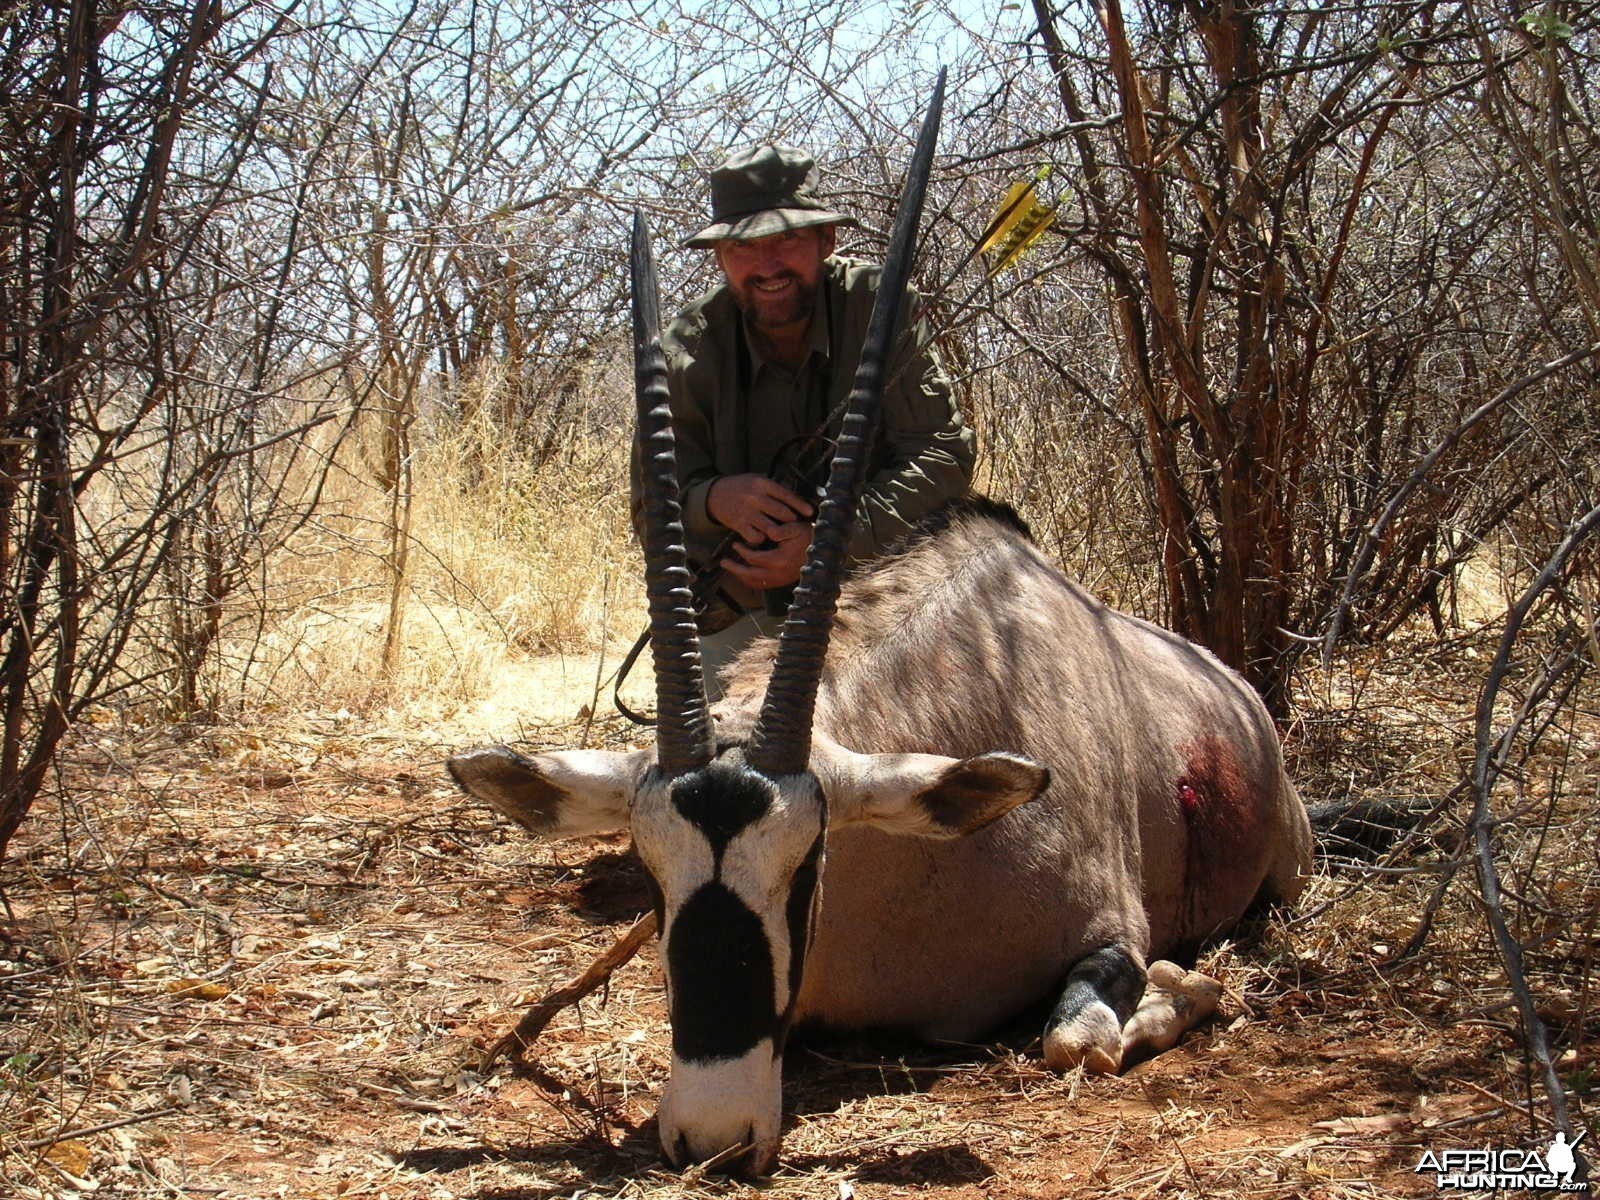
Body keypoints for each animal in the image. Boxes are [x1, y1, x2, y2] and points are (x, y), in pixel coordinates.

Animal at [451, 82, 1312, 1177]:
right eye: (649, 873)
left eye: (808, 863)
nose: (713, 1138)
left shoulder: (1111, 928)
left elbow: (1078, 1042)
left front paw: (1185, 984)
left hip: (1286, 869)